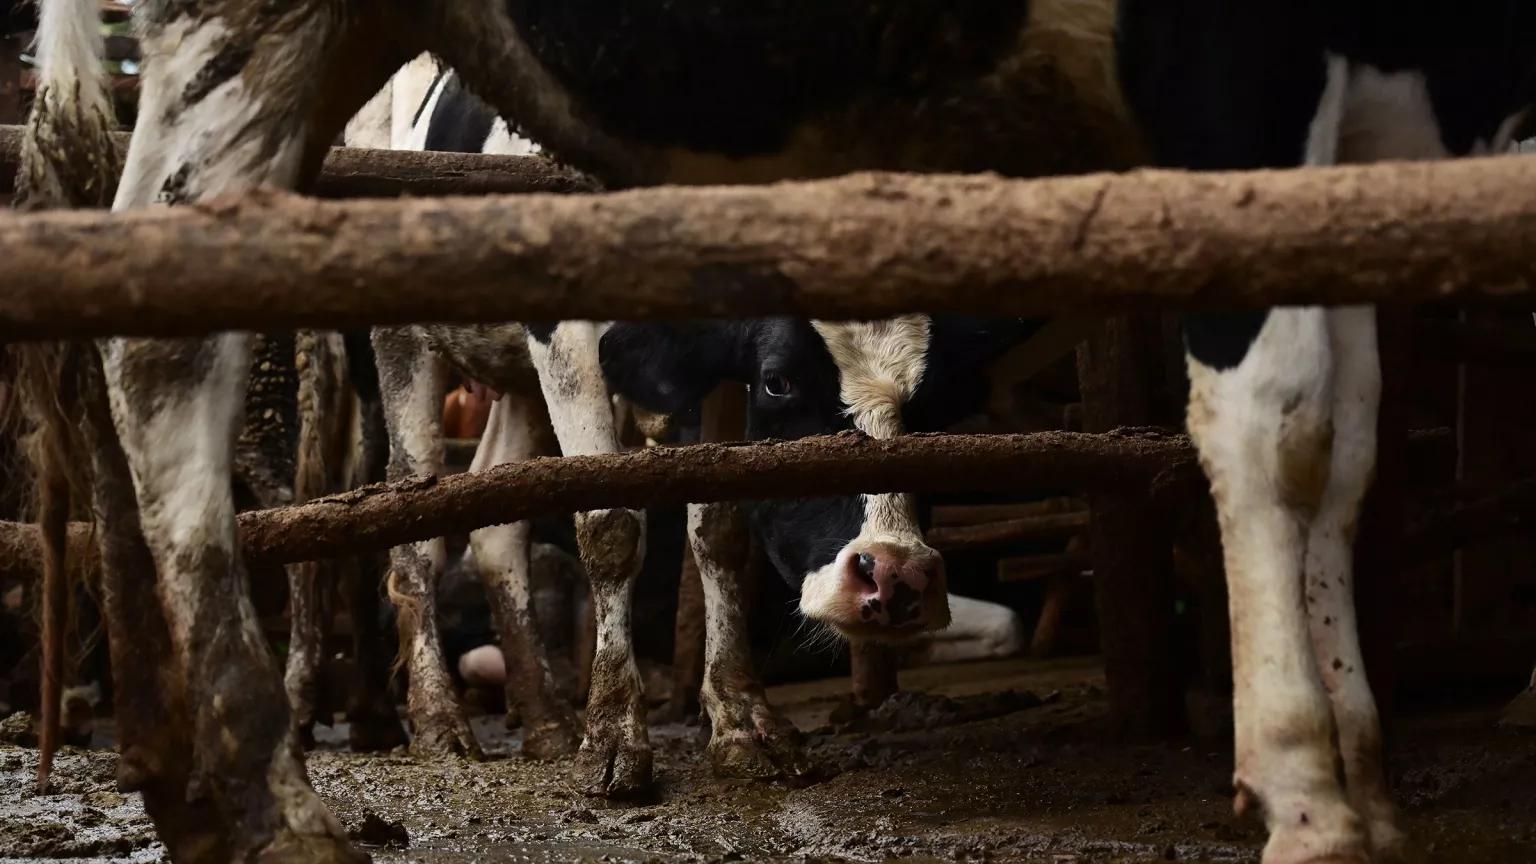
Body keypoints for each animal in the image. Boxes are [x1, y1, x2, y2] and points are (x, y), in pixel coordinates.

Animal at [21, 1, 1536, 860]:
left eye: (936, 406)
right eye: (794, 386)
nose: (896, 583)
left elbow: (719, 517)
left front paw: (738, 723)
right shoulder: (577, 334)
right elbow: (616, 524)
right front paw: (629, 749)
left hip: (490, 372)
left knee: (497, 527)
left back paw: (538, 709)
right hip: (386, 317)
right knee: (383, 508)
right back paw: (393, 748)